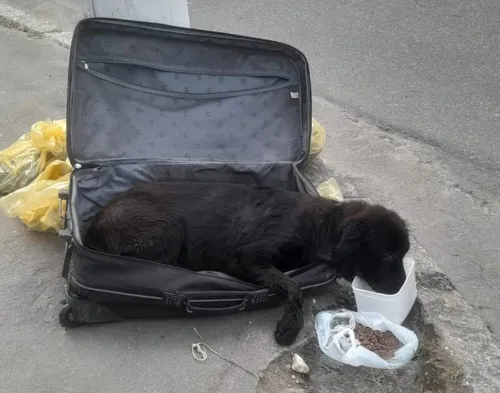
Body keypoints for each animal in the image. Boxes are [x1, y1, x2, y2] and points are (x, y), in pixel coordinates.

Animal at [84, 181, 408, 344]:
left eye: (404, 254)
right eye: (389, 255)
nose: (403, 287)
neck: (322, 227)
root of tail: (93, 224)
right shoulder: (246, 258)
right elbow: (293, 287)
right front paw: (289, 327)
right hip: (170, 228)